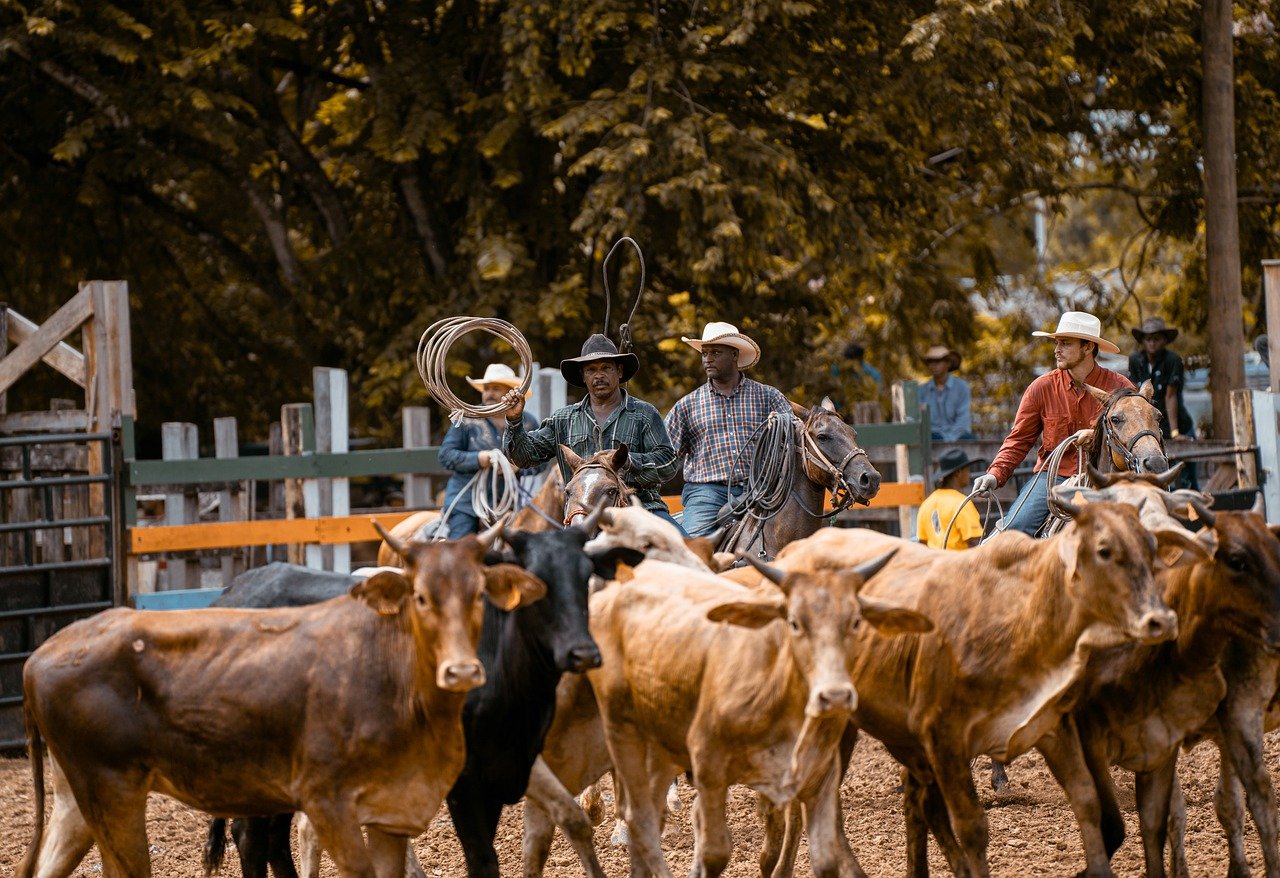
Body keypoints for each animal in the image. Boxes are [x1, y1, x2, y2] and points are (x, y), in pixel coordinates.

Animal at [206, 517, 609, 878]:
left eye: (585, 574)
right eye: (535, 581)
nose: (582, 652)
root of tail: (235, 589)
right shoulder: (465, 782)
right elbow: (483, 860)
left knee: (275, 838)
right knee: (251, 837)